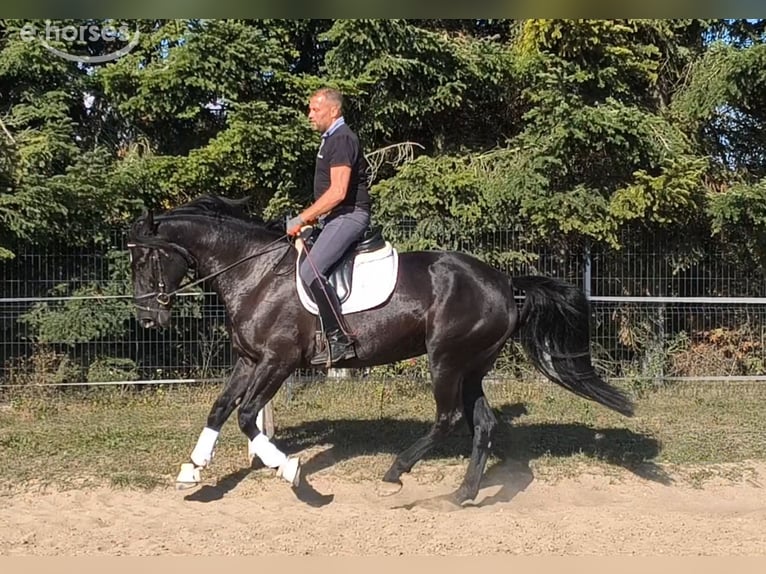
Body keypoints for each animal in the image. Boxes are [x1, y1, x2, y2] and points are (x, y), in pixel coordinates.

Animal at [127, 194, 634, 504]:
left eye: (146, 257)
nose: (148, 319)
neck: (256, 274)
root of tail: (505, 284)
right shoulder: (250, 359)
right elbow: (220, 408)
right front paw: (192, 470)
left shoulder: (279, 360)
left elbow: (248, 416)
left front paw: (292, 471)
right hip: (472, 365)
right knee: (483, 424)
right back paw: (463, 494)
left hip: (445, 360)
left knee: (449, 418)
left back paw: (396, 472)